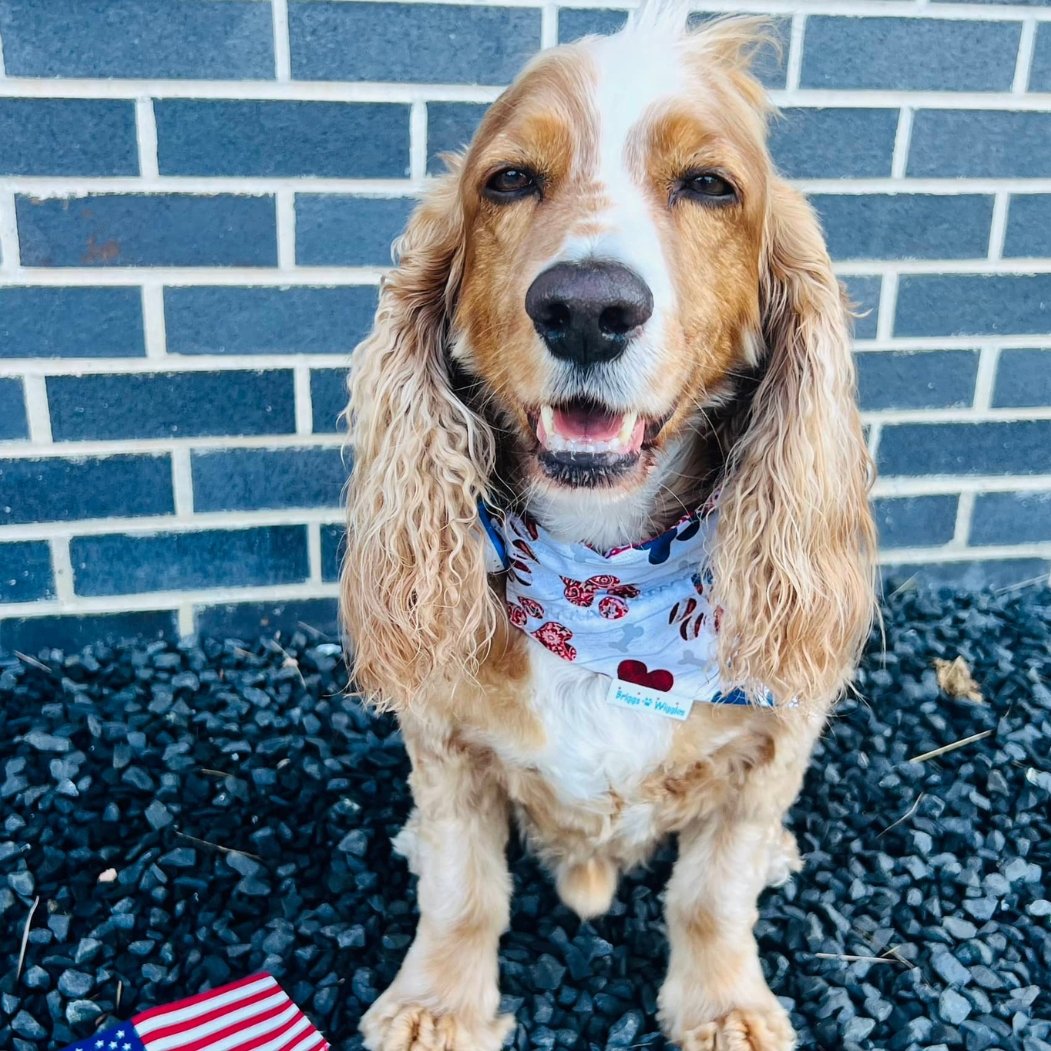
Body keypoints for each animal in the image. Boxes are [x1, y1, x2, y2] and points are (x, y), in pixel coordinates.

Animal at [340, 10, 874, 1051]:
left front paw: (724, 1006)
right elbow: (463, 887)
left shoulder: (768, 750)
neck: (605, 575)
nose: (586, 305)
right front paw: (436, 1004)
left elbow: (713, 890)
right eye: (508, 179)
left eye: (710, 186)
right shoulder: (443, 742)